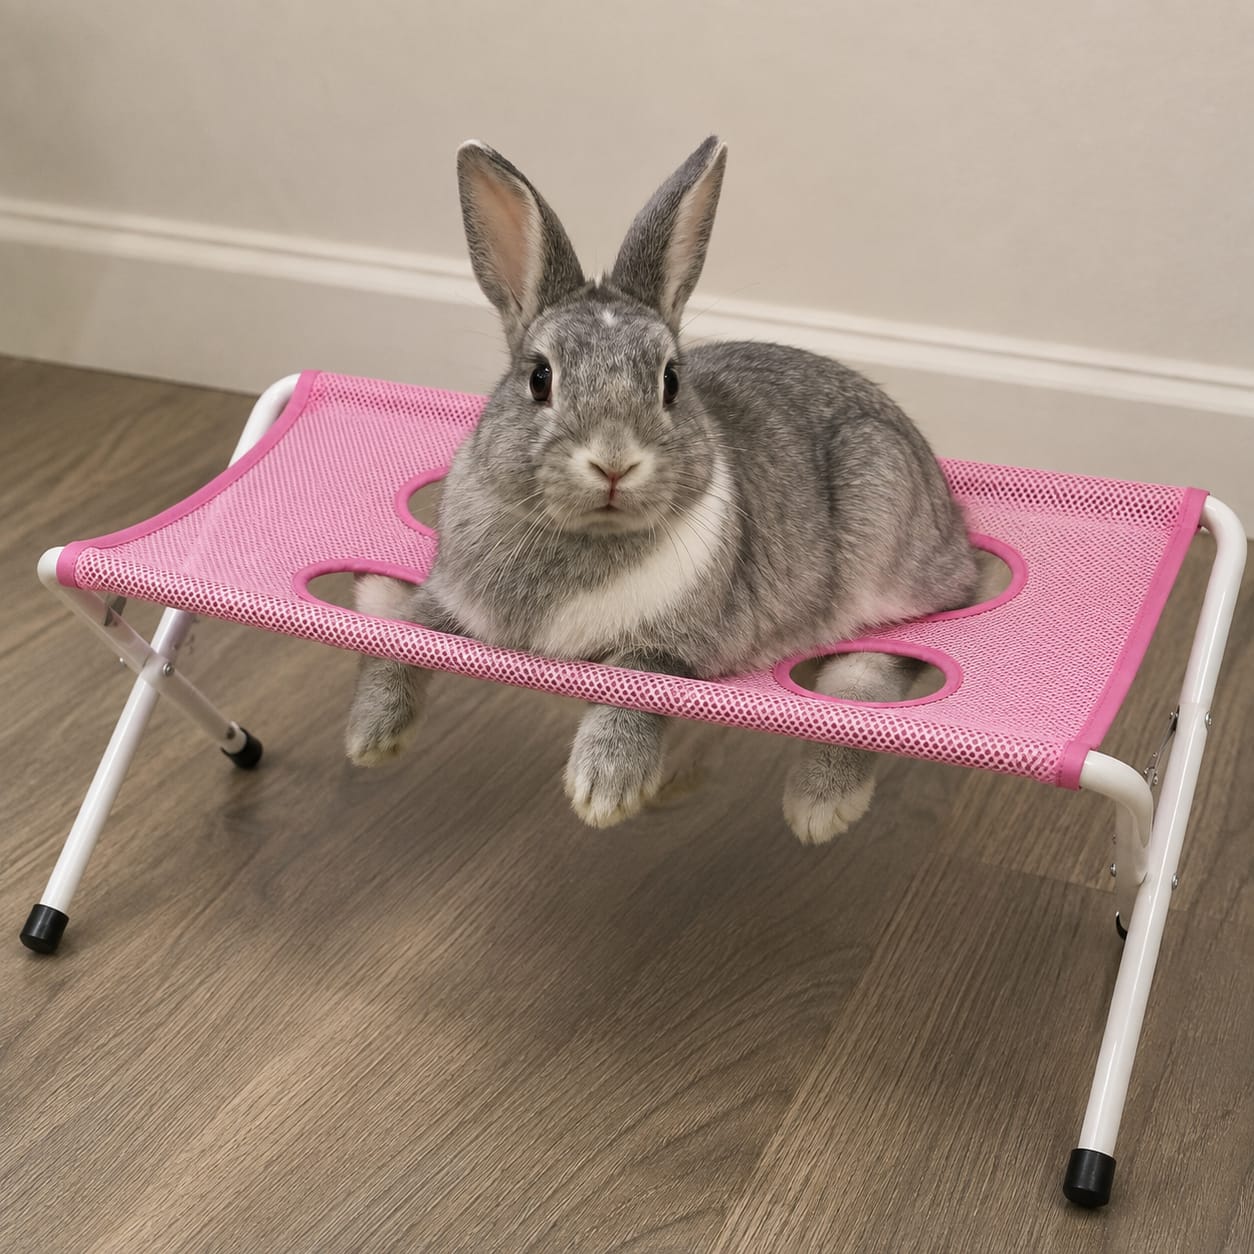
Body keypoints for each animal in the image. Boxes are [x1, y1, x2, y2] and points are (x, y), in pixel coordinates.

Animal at [346, 135, 979, 844]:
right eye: (539, 378)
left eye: (671, 381)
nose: (614, 462)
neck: (584, 537)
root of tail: (952, 523)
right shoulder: (447, 603)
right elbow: (400, 638)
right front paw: (370, 739)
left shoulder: (673, 650)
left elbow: (631, 692)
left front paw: (603, 792)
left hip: (886, 544)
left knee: (870, 677)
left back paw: (820, 807)